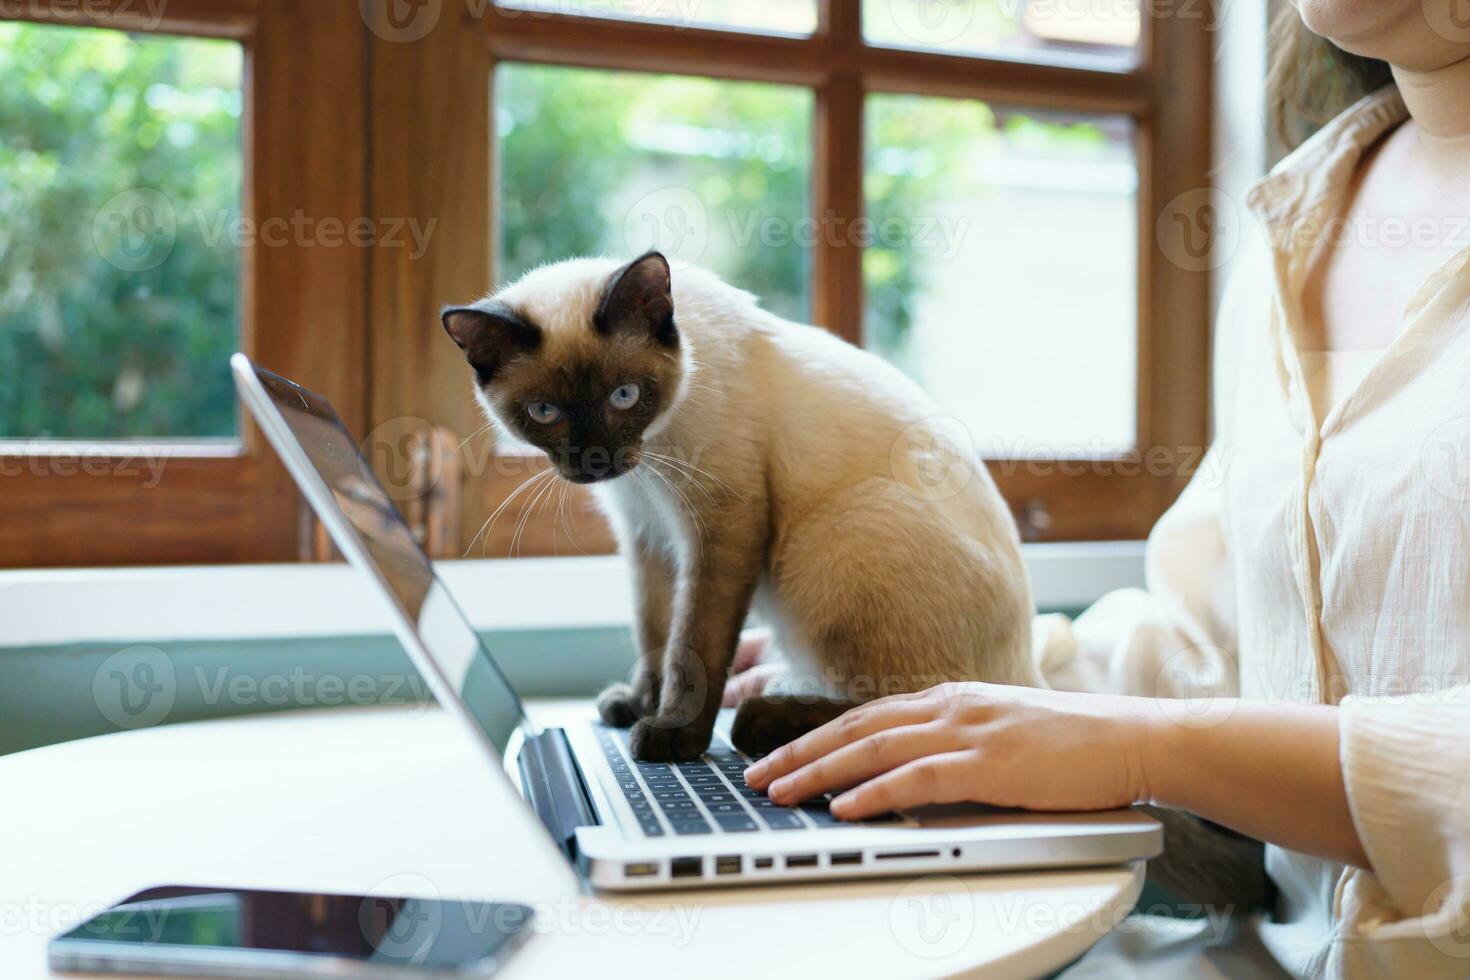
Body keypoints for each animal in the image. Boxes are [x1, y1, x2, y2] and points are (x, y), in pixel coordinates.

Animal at [441, 252, 1040, 764]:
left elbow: (693, 647)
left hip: (832, 543)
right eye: (545, 412)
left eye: (624, 397)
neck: (647, 465)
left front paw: (673, 736)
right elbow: (654, 632)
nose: (596, 459)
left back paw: (761, 721)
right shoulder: (648, 535)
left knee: (916, 700)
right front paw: (638, 705)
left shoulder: (722, 527)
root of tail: (1027, 672)